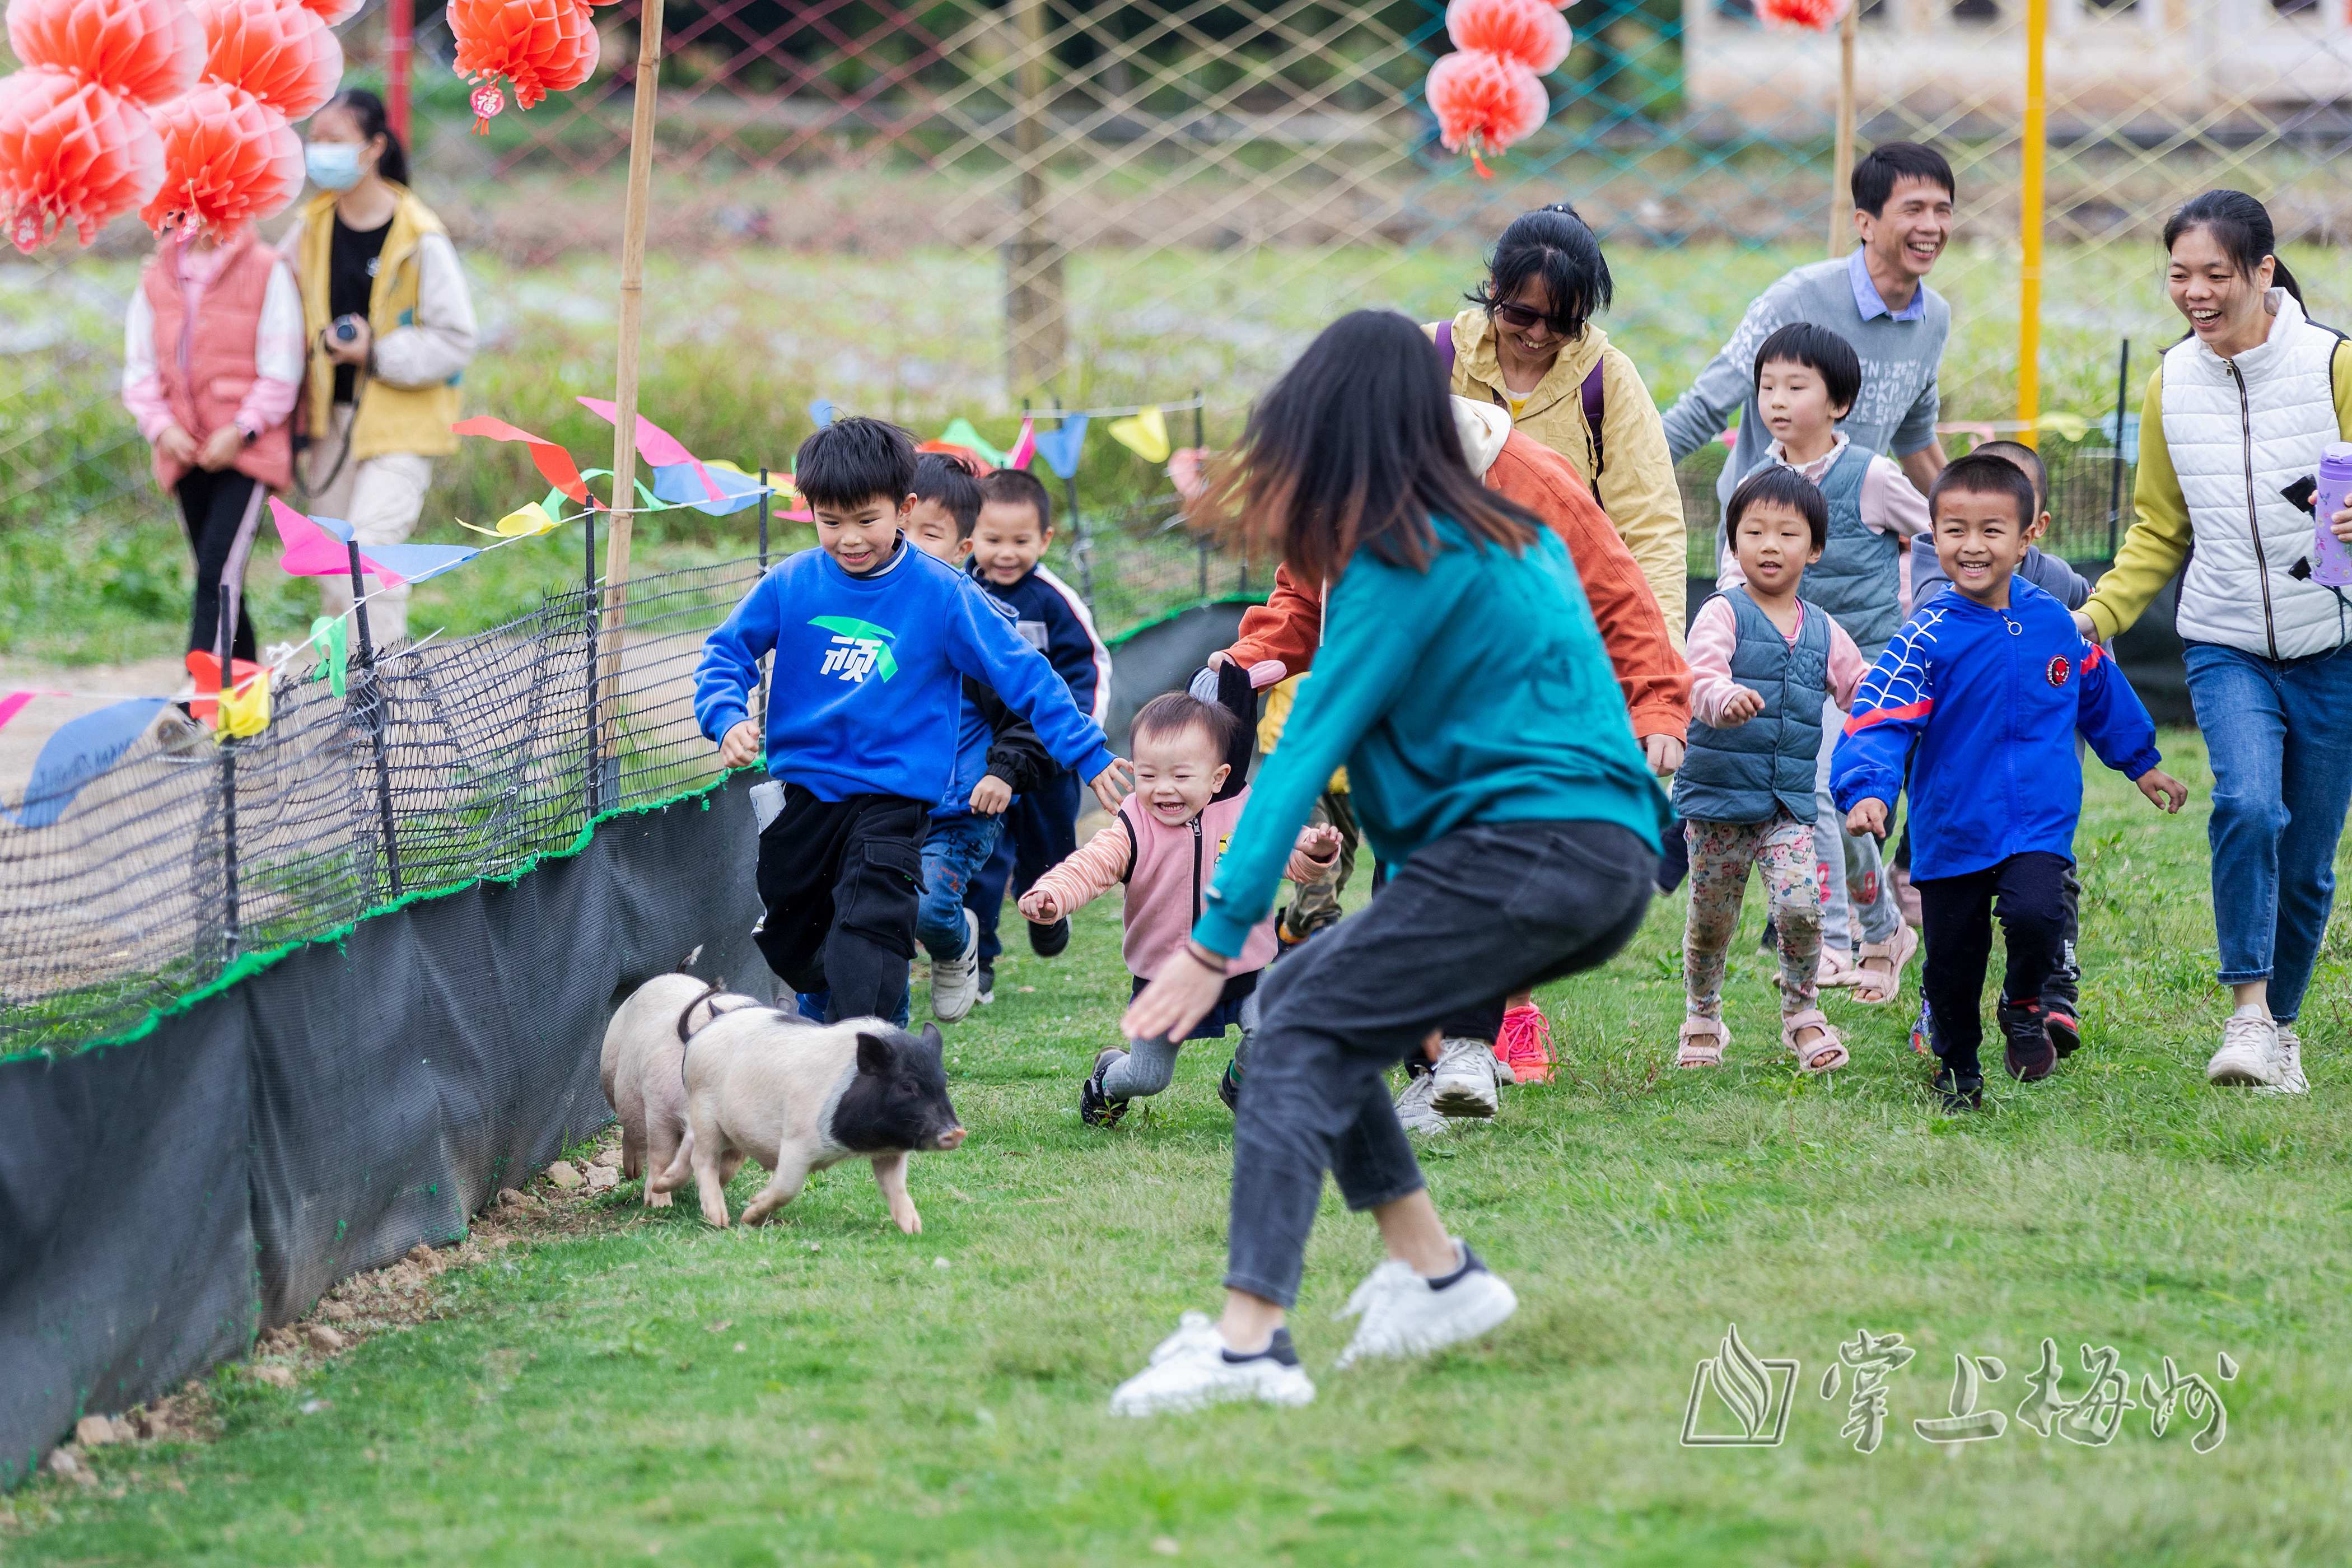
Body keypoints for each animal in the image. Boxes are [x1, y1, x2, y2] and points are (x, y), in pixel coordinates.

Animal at [597, 973, 762, 1213]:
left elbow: (731, 1164)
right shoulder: (658, 1108)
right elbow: (662, 1154)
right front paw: (660, 1205)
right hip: (610, 1077)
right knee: (631, 1130)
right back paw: (632, 1174)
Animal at [644, 1020, 964, 1241]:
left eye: (944, 1081)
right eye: (907, 1086)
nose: (956, 1132)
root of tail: (700, 1034)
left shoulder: (891, 1152)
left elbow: (895, 1186)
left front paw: (914, 1229)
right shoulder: (797, 1141)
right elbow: (788, 1187)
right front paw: (749, 1217)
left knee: (689, 1145)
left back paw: (662, 1186)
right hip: (705, 1110)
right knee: (703, 1159)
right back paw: (719, 1220)